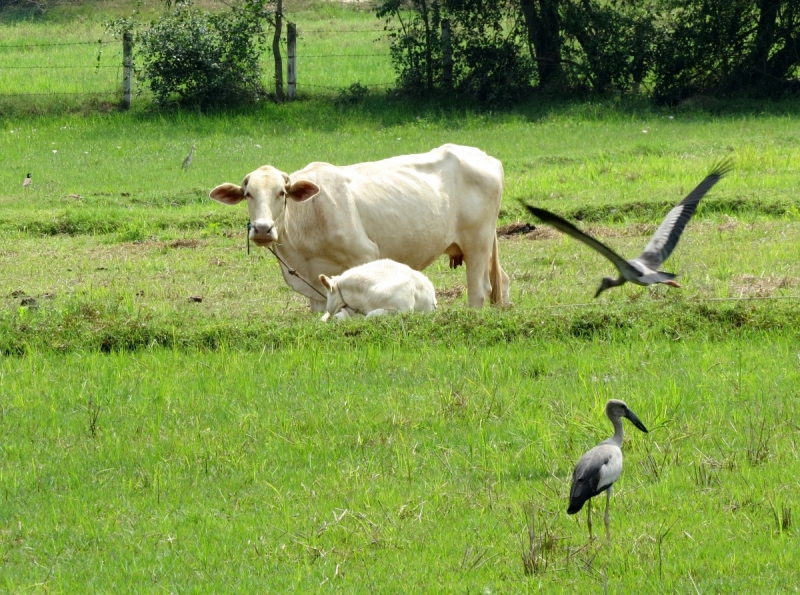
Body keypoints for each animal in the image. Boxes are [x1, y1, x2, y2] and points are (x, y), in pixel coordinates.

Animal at [209, 144, 510, 312]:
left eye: (281, 193)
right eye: (248, 194)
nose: (262, 229)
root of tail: (487, 157)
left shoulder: (364, 255)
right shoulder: (313, 285)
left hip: (478, 243)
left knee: (478, 291)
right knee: (503, 281)